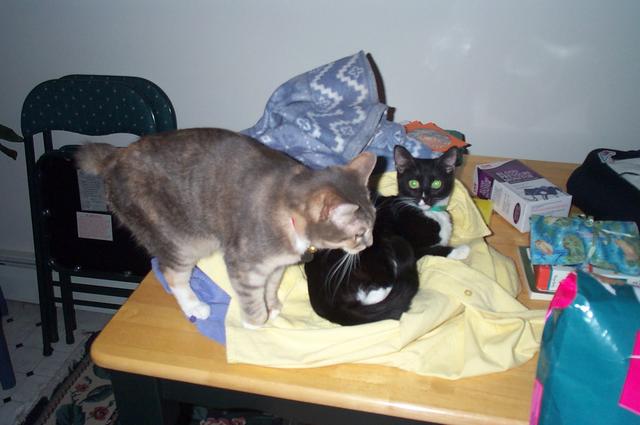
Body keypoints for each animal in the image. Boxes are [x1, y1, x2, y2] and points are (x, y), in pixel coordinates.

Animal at [75, 128, 377, 328]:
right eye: (358, 234)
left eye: (374, 223)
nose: (370, 244)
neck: (287, 213)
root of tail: (114, 158)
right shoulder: (244, 264)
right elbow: (252, 299)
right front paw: (257, 323)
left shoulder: (276, 266)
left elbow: (271, 287)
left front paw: (273, 307)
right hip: (179, 239)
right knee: (172, 274)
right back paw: (195, 306)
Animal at [304, 145, 469, 326]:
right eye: (413, 183)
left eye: (436, 183)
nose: (425, 199)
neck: (428, 213)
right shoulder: (415, 247)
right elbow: (435, 249)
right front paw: (461, 250)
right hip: (375, 247)